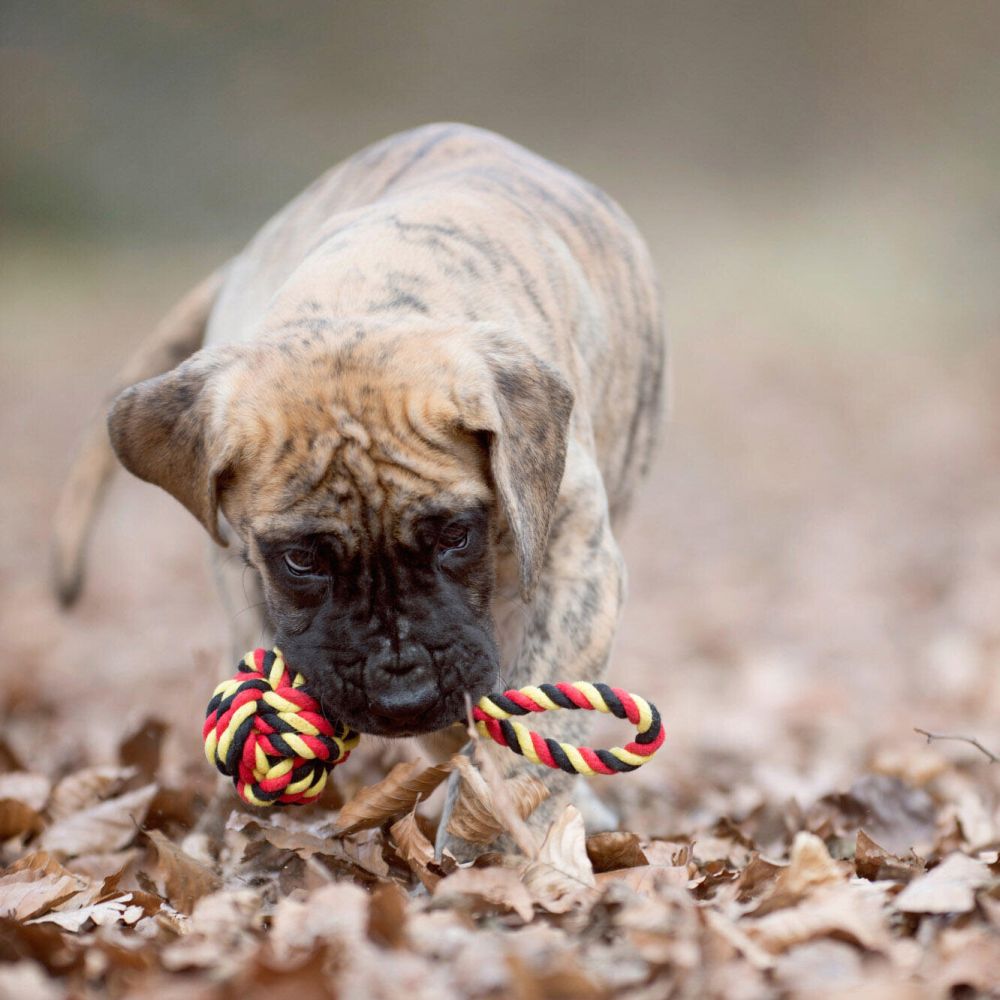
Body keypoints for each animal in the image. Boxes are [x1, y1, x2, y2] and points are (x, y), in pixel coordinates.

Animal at [52, 123, 664, 852]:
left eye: (456, 536)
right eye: (300, 559)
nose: (402, 695)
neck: (367, 295)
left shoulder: (575, 563)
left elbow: (532, 730)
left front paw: (489, 836)